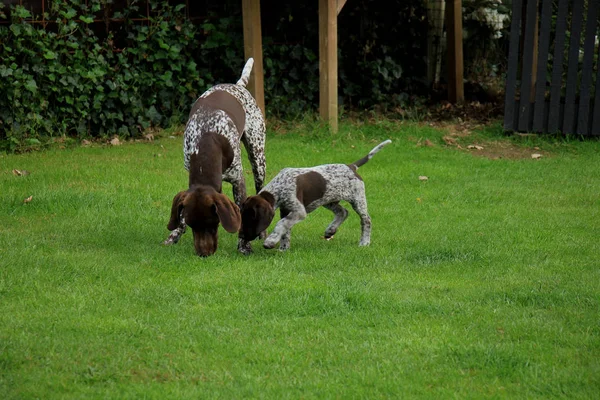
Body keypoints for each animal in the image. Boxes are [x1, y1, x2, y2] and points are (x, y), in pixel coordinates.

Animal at [165, 57, 266, 255]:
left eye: (214, 224)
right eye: (192, 225)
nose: (203, 254)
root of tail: (237, 85)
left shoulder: (238, 180)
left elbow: (242, 214)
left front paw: (244, 245)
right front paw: (175, 234)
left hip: (258, 158)